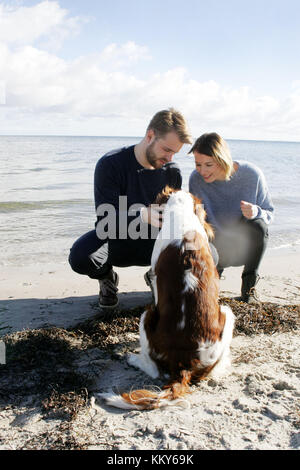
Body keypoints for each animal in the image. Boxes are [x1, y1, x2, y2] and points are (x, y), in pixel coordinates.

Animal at [98, 187, 234, 408]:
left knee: (153, 370)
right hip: (227, 316)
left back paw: (132, 358)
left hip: (147, 316)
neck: (182, 215)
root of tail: (183, 361)